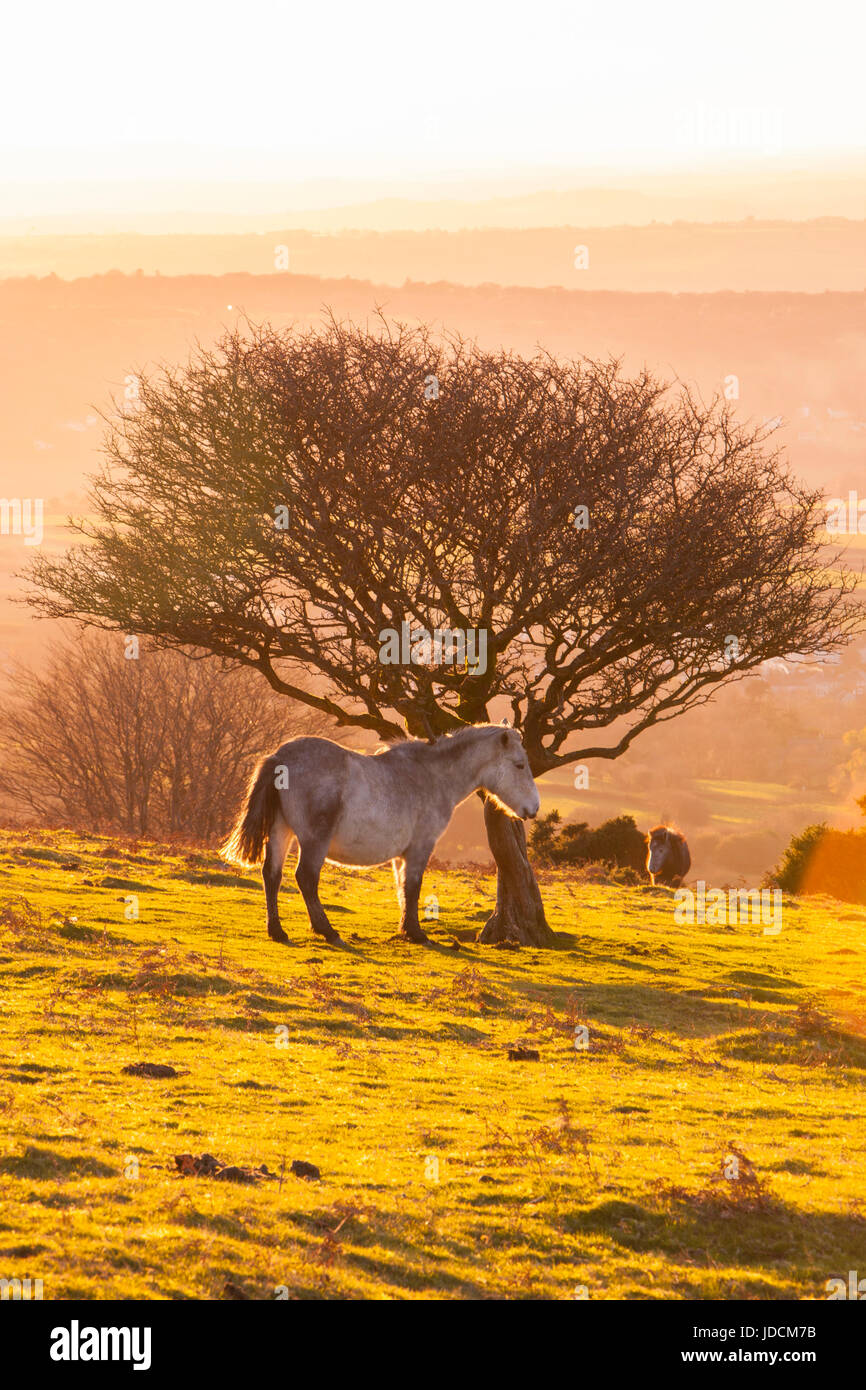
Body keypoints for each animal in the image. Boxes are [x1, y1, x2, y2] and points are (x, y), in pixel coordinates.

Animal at [222, 723, 540, 946]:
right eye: (519, 764)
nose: (533, 808)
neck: (431, 776)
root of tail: (280, 756)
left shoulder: (401, 856)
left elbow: (402, 888)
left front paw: (405, 929)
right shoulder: (420, 847)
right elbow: (413, 887)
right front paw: (416, 933)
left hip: (281, 831)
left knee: (272, 875)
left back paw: (277, 931)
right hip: (313, 841)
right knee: (306, 878)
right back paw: (327, 931)